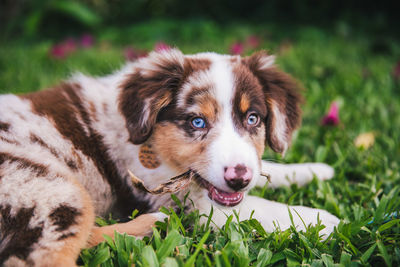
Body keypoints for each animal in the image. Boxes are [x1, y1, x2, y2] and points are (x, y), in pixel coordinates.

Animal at [0, 49, 340, 266]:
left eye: (253, 119)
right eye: (197, 122)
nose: (239, 179)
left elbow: (265, 171)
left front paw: (316, 170)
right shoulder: (184, 200)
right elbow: (264, 208)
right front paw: (323, 220)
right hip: (51, 189)